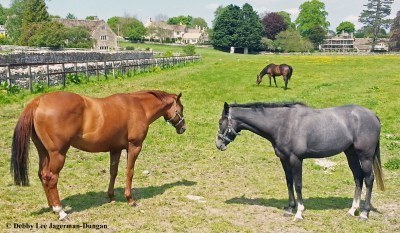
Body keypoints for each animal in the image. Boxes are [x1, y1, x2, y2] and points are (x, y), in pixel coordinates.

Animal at [10, 90, 186, 219]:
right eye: (181, 108)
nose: (183, 128)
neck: (139, 106)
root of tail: (38, 102)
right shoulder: (134, 146)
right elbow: (129, 172)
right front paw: (130, 199)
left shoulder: (115, 149)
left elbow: (113, 172)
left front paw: (111, 197)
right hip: (57, 154)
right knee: (51, 178)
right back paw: (60, 211)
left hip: (44, 153)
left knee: (42, 175)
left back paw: (52, 206)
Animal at [216, 101, 384, 220]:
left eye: (220, 122)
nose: (218, 144)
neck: (283, 124)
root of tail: (373, 116)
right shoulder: (284, 159)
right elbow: (289, 182)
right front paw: (290, 209)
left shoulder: (296, 159)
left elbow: (298, 184)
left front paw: (299, 213)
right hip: (351, 154)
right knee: (358, 178)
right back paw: (352, 210)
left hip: (365, 156)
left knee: (369, 179)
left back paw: (364, 213)